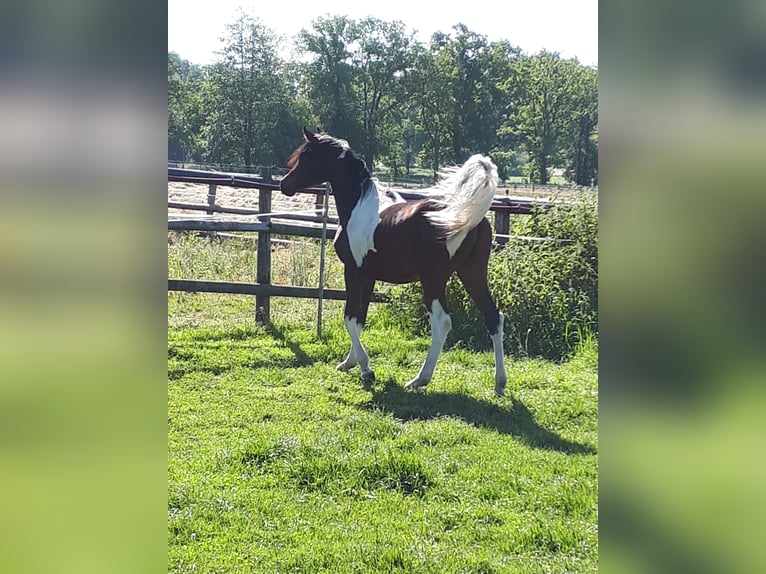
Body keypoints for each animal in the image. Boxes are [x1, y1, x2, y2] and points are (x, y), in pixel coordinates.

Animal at [280, 128, 508, 396]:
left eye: (306, 156)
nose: (284, 184)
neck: (358, 207)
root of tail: (467, 217)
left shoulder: (353, 271)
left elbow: (349, 317)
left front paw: (366, 370)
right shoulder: (368, 276)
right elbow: (360, 319)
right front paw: (350, 362)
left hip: (434, 280)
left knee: (441, 322)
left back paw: (419, 379)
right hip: (472, 274)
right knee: (494, 318)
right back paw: (499, 383)